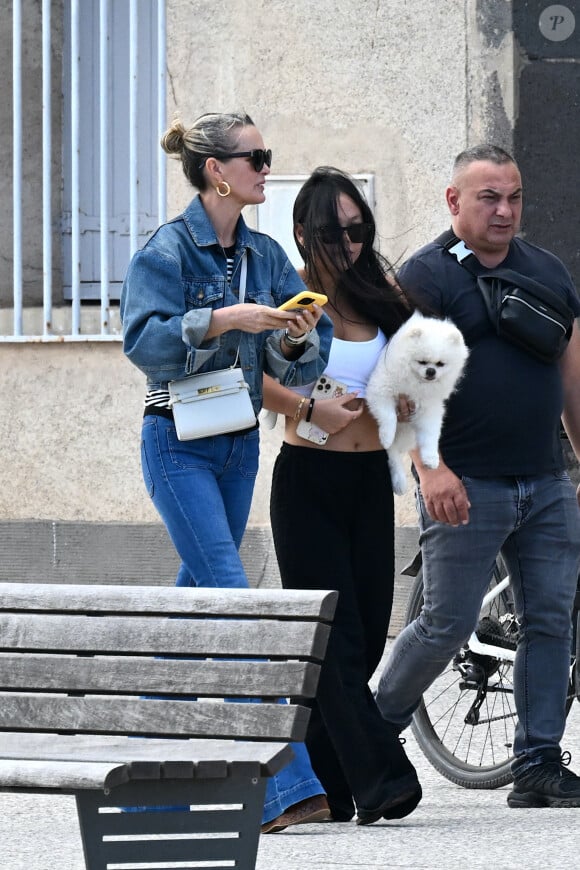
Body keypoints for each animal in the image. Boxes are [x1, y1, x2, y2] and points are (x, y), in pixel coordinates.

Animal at [370, 310, 468, 494]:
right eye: (422, 361)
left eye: (440, 364)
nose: (431, 371)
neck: (414, 383)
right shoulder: (380, 391)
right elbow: (389, 417)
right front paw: (386, 436)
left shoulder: (429, 409)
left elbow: (430, 435)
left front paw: (431, 458)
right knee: (392, 453)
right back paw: (399, 479)